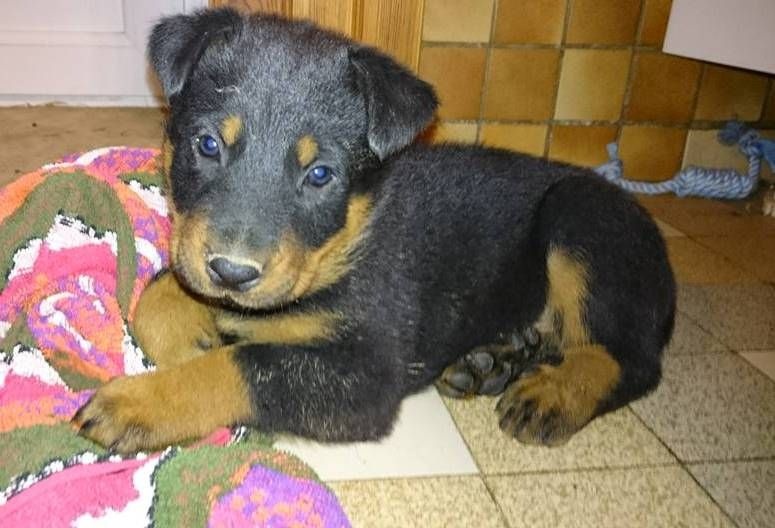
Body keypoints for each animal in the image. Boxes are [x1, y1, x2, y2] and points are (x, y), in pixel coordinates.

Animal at [73, 8, 676, 453]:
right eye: (207, 145)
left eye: (320, 174)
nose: (232, 272)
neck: (348, 242)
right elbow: (161, 290)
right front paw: (189, 335)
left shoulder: (367, 374)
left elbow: (242, 365)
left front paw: (140, 402)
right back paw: (492, 361)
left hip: (581, 219)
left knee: (630, 359)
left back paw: (553, 392)